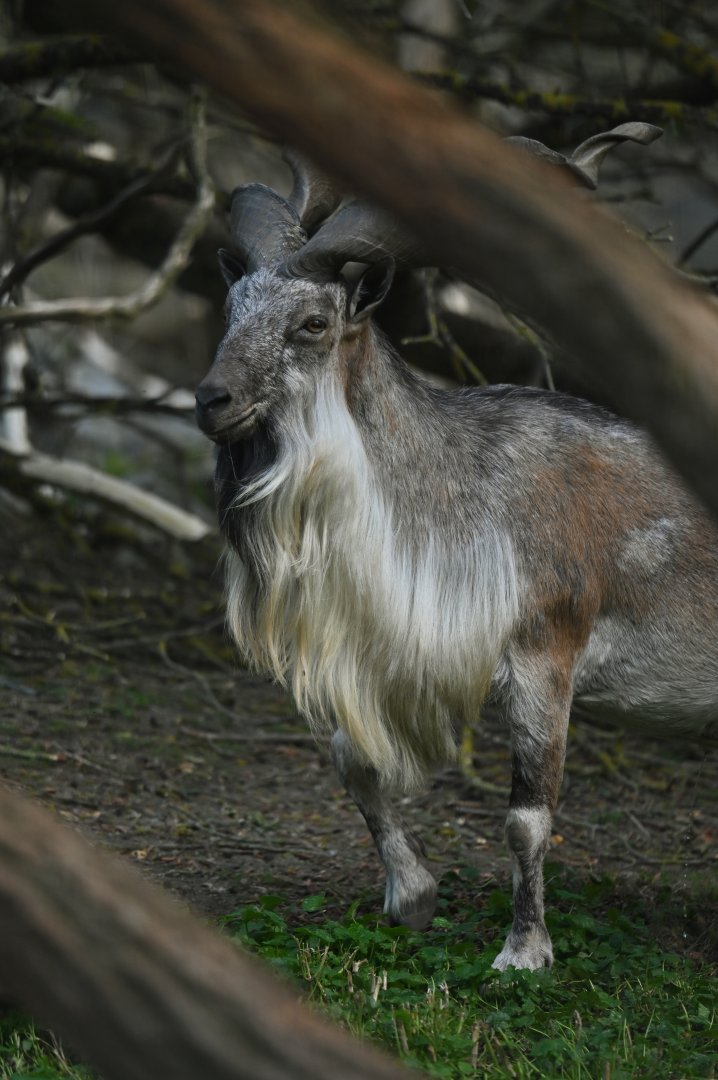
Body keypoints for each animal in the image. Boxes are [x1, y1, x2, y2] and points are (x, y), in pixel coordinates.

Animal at [195, 139, 718, 971]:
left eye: (312, 321)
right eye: (232, 305)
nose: (212, 400)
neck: (465, 489)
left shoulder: (545, 657)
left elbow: (527, 816)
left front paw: (524, 952)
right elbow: (353, 758)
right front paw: (412, 898)